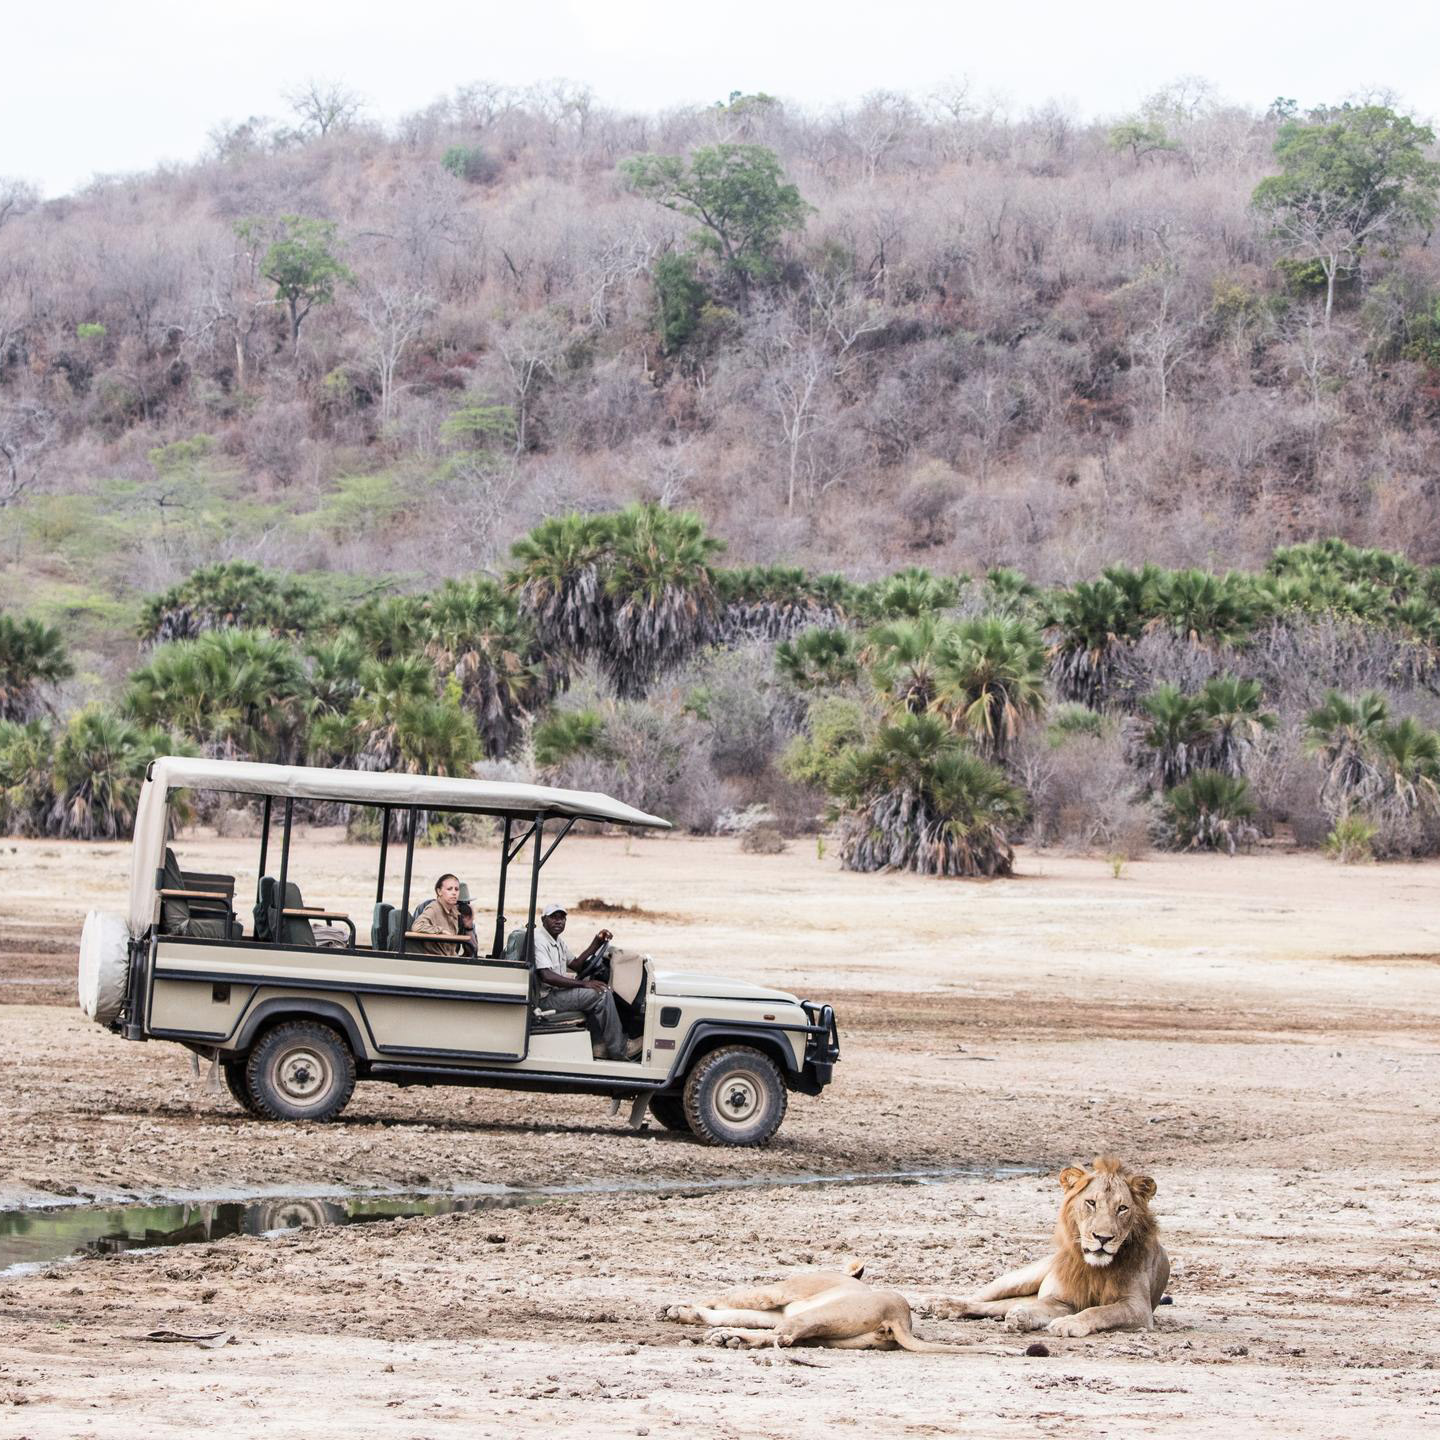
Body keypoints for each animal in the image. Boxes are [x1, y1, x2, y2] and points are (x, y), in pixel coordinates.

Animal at [659, 1261, 979, 1347]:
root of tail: (900, 1318)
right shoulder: (777, 1310)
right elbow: (736, 1312)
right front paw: (680, 1312)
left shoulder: (779, 1291)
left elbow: (731, 1297)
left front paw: (677, 1307)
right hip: (834, 1335)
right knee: (783, 1337)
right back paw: (729, 1338)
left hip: (819, 1314)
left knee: (784, 1336)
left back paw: (727, 1337)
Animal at [933, 1152, 1169, 1342]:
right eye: (1091, 1203)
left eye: (1122, 1208)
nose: (1103, 1238)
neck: (1095, 1268)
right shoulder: (1063, 1300)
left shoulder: (1138, 1308)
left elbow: (1099, 1311)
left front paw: (1066, 1323)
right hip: (1020, 1278)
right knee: (980, 1299)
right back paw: (941, 1304)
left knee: (1000, 1305)